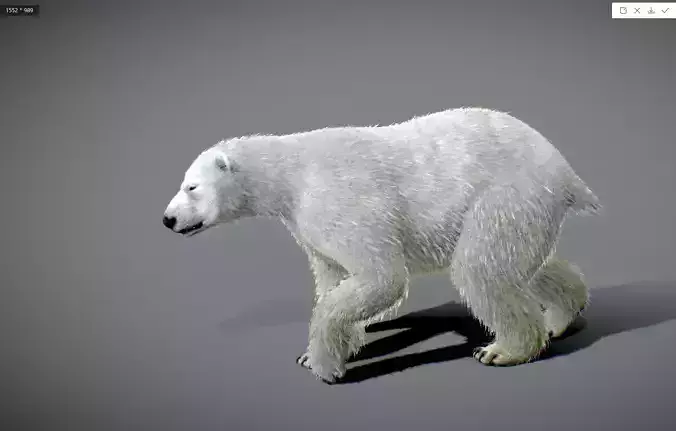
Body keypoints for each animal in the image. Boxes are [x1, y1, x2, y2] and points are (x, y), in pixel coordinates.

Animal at [163, 107, 601, 383]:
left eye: (191, 187)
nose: (167, 219)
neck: (292, 175)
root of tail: (567, 172)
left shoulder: (341, 201)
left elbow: (381, 277)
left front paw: (323, 366)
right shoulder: (311, 228)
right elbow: (333, 276)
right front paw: (328, 350)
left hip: (505, 195)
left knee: (481, 269)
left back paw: (503, 350)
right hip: (525, 210)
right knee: (526, 264)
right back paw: (559, 317)